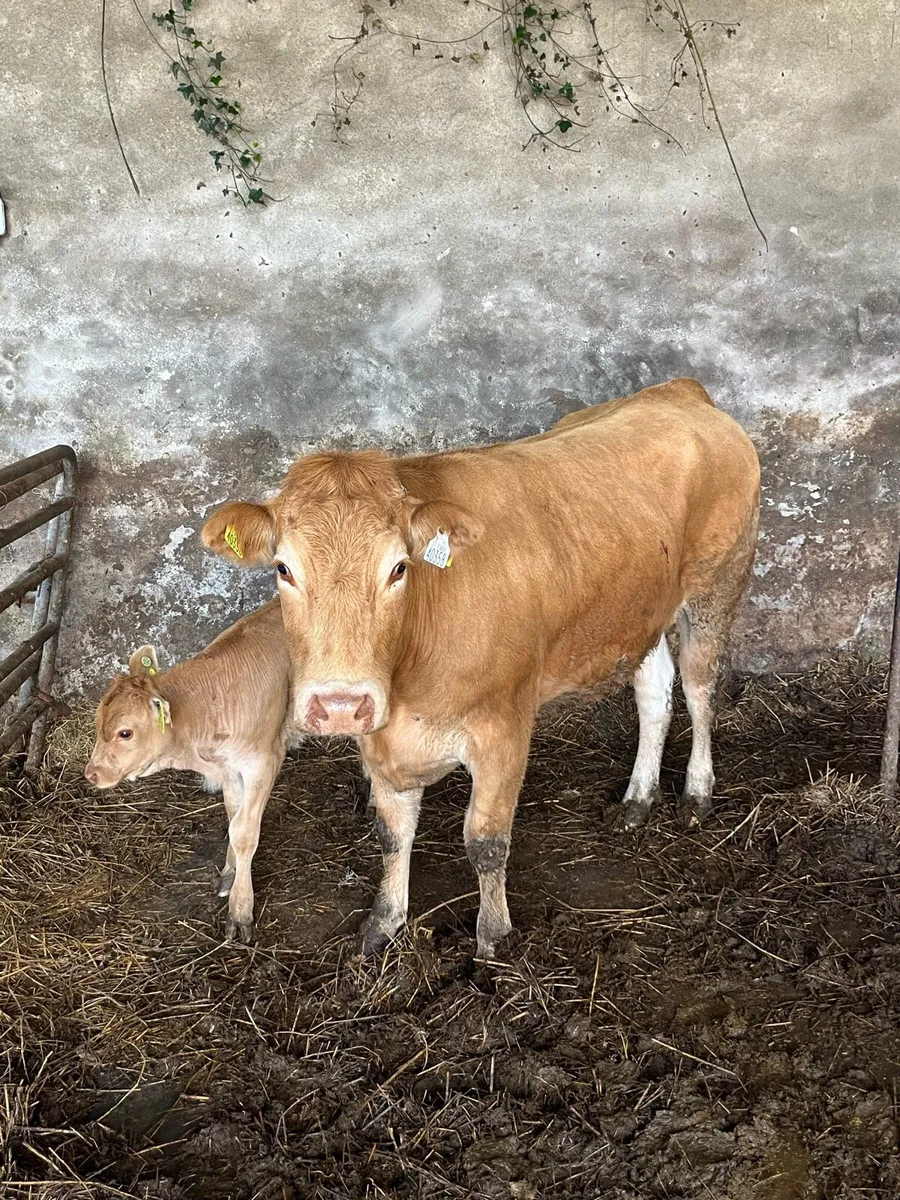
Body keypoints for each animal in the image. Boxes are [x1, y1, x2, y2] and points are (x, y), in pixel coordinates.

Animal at [84, 599, 293, 943]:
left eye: (125, 733)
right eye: (97, 722)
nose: (92, 773)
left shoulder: (264, 761)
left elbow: (244, 833)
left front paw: (240, 909)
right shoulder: (229, 769)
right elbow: (233, 820)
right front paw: (229, 875)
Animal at [202, 378, 760, 960]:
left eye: (398, 568)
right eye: (283, 569)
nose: (339, 705)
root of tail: (679, 393)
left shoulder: (503, 728)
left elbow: (486, 842)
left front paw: (493, 937)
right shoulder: (380, 739)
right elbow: (392, 834)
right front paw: (383, 923)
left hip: (718, 584)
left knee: (700, 688)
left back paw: (697, 793)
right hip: (640, 613)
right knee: (655, 694)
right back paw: (638, 799)